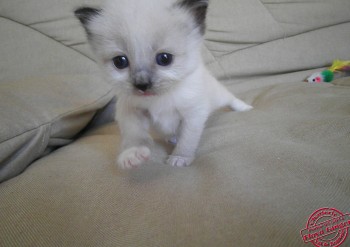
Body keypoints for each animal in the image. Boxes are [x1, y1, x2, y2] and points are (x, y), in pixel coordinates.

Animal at [75, 0, 253, 169]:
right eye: (120, 62)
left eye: (164, 59)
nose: (142, 85)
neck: (159, 98)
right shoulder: (131, 111)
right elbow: (134, 135)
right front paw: (132, 155)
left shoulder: (193, 115)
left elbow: (187, 140)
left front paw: (180, 158)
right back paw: (171, 138)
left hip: (219, 95)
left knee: (231, 98)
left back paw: (245, 108)